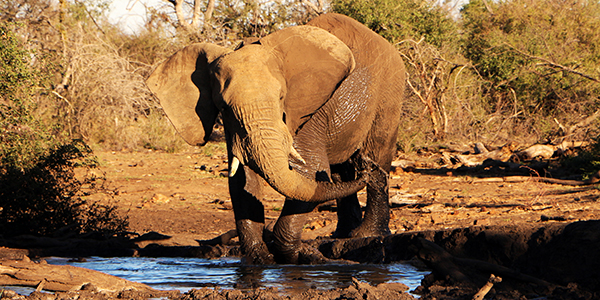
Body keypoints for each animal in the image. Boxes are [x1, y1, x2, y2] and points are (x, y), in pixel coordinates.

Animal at [146, 12, 406, 264]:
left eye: (281, 97)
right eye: (223, 106)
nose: (366, 168)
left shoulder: (305, 115)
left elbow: (311, 171)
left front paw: (295, 256)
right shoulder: (235, 128)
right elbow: (242, 180)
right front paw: (261, 259)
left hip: (390, 90)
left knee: (379, 151)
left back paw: (366, 229)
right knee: (340, 171)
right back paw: (344, 229)